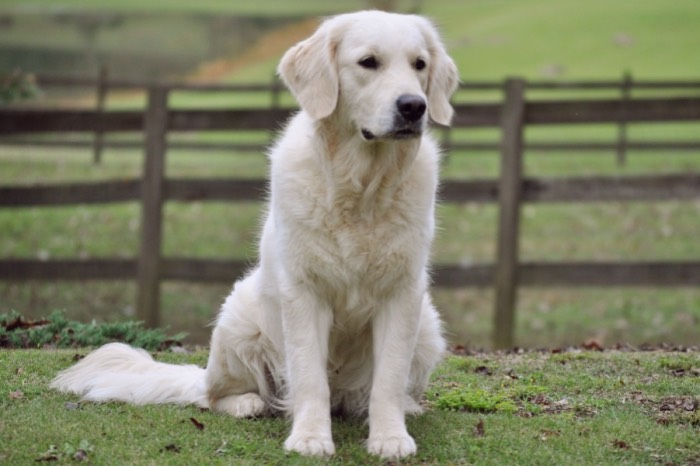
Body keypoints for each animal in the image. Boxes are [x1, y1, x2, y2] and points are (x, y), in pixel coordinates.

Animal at [50, 10, 460, 458]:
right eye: (368, 62)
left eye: (419, 64)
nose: (414, 106)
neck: (362, 188)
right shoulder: (303, 291)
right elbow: (309, 375)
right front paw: (310, 438)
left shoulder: (402, 293)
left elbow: (388, 376)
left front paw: (389, 438)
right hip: (237, 322)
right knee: (212, 395)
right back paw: (248, 403)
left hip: (428, 326)